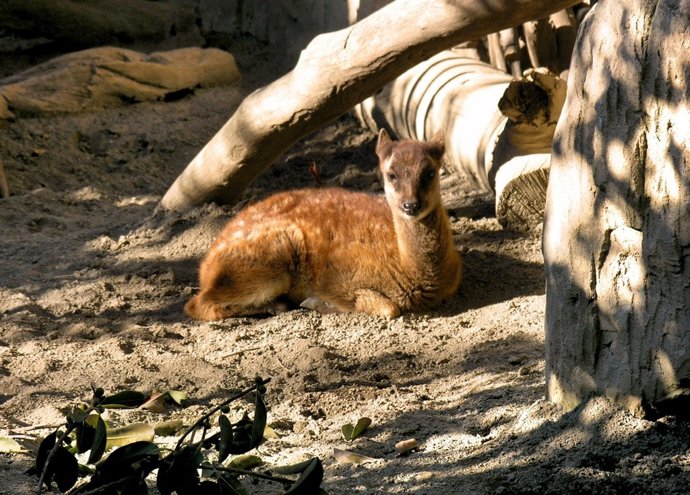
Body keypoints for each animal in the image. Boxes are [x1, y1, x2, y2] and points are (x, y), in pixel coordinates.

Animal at [184, 128, 462, 321]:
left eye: (430, 173)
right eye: (391, 174)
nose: (410, 205)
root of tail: (206, 267)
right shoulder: (343, 281)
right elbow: (387, 307)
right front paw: (319, 303)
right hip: (271, 259)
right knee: (198, 304)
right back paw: (278, 305)